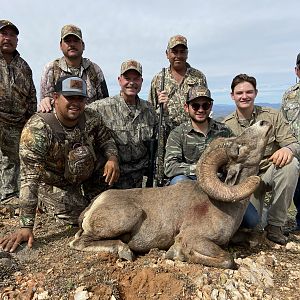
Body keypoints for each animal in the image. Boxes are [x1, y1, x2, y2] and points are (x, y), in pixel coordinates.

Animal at [70, 120, 272, 268]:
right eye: (239, 147)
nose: (264, 123)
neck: (225, 207)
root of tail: (95, 204)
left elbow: (254, 239)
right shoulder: (194, 238)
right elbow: (228, 260)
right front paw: (177, 254)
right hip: (128, 216)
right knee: (78, 243)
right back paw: (124, 250)